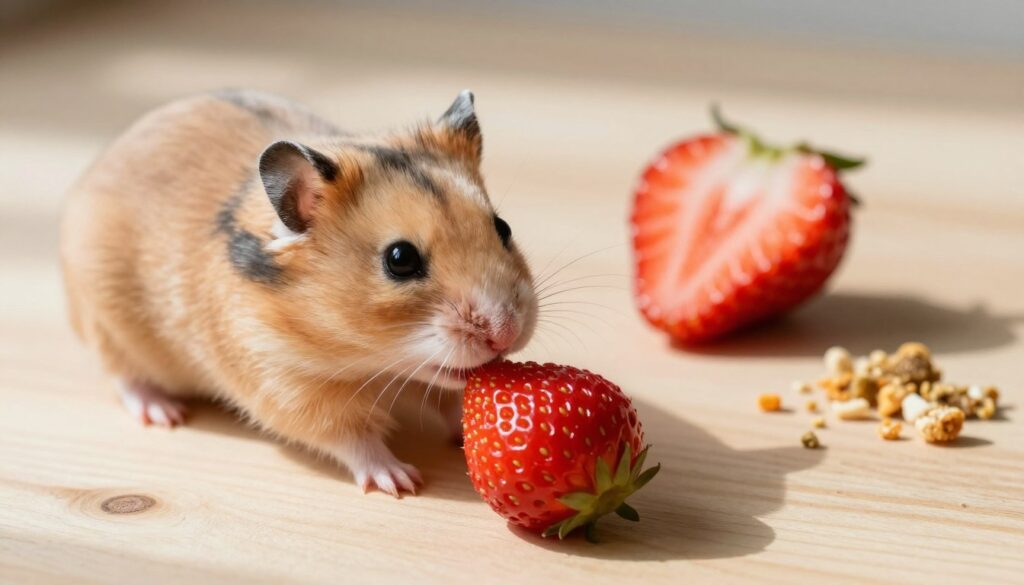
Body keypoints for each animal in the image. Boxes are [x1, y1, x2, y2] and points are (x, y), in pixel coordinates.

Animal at [60, 89, 538, 496]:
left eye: (503, 227)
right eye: (400, 259)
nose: (506, 333)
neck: (371, 364)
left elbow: (452, 400)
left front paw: (462, 438)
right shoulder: (288, 387)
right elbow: (353, 437)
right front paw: (401, 481)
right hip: (109, 326)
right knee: (125, 377)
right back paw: (165, 414)